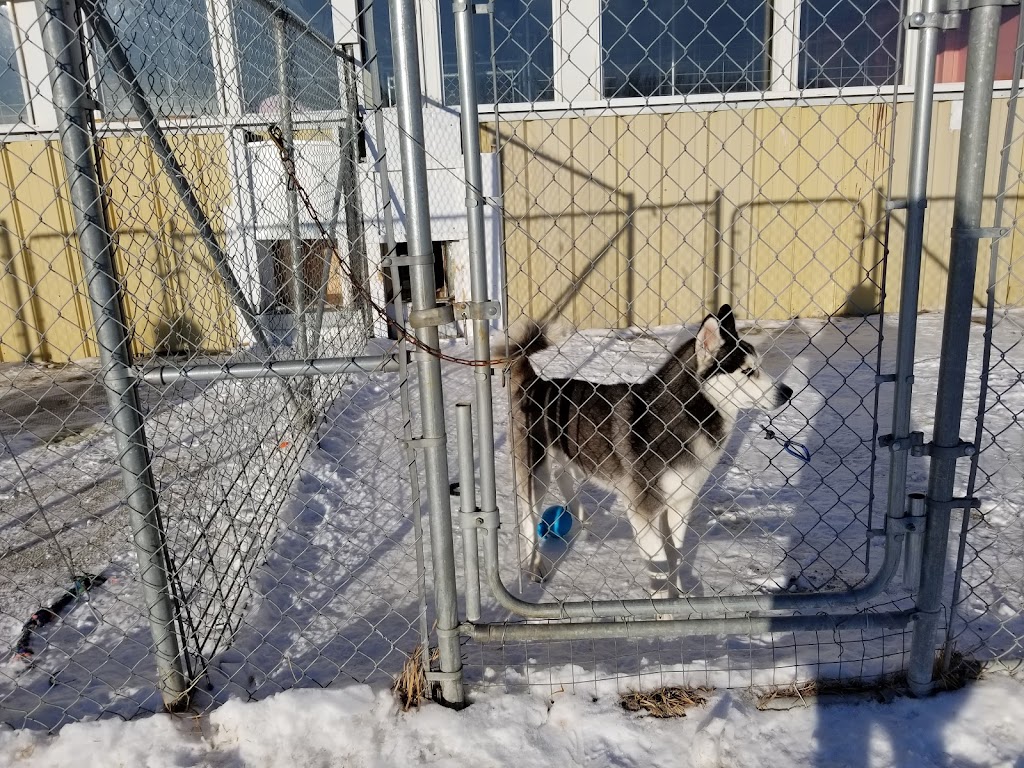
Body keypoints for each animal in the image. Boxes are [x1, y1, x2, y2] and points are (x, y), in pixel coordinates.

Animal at [503, 305, 790, 593]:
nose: (788, 392)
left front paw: (678, 594)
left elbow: (675, 557)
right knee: (529, 520)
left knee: (563, 478)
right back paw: (535, 567)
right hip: (535, 473)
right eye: (747, 371)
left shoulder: (680, 505)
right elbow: (659, 565)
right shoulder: (644, 511)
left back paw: (582, 518)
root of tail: (536, 382)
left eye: (759, 366)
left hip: (572, 456)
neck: (688, 415)